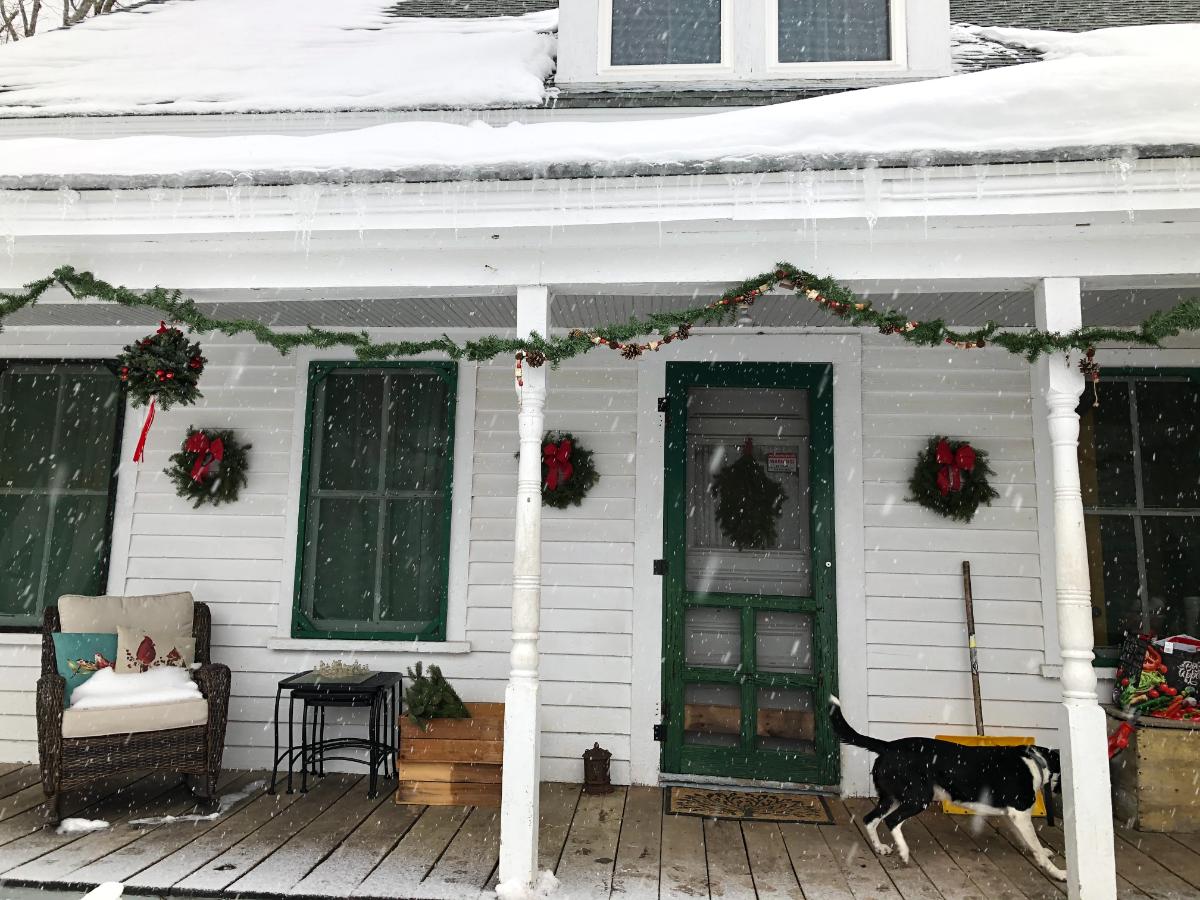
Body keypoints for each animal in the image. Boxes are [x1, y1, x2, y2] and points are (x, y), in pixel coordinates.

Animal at [830, 696, 1065, 883]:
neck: (1037, 762)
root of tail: (887, 745)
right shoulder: (1019, 812)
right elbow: (1035, 844)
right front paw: (1058, 872)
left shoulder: (1012, 815)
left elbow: (1029, 842)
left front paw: (1040, 851)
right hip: (918, 798)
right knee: (891, 821)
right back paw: (904, 853)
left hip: (892, 798)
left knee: (870, 819)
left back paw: (879, 847)